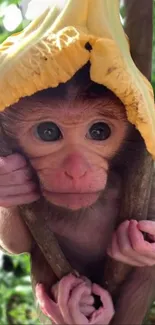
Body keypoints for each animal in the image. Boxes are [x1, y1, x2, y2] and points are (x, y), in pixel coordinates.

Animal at [0, 64, 155, 324]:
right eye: (48, 132)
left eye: (99, 131)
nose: (76, 171)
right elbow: (17, 244)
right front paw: (11, 182)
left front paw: (135, 246)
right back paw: (68, 308)